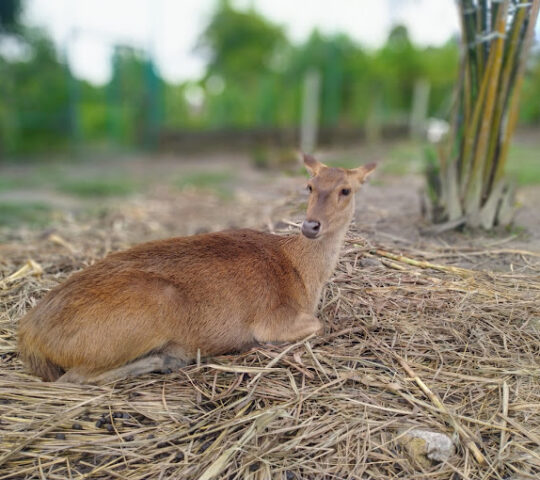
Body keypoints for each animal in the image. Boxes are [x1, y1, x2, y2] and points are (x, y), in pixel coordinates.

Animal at [17, 156, 376, 384]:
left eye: (346, 189)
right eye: (309, 185)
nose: (310, 225)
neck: (303, 272)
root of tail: (30, 335)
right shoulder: (272, 320)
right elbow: (317, 325)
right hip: (144, 314)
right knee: (72, 379)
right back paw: (168, 359)